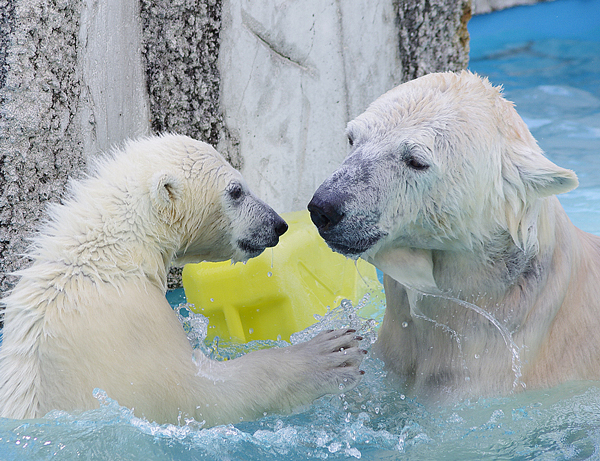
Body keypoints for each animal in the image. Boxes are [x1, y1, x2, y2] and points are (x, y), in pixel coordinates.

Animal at [0, 133, 366, 424]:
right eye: (236, 190)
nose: (278, 223)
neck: (111, 257)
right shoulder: (131, 329)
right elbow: (200, 396)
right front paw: (329, 354)